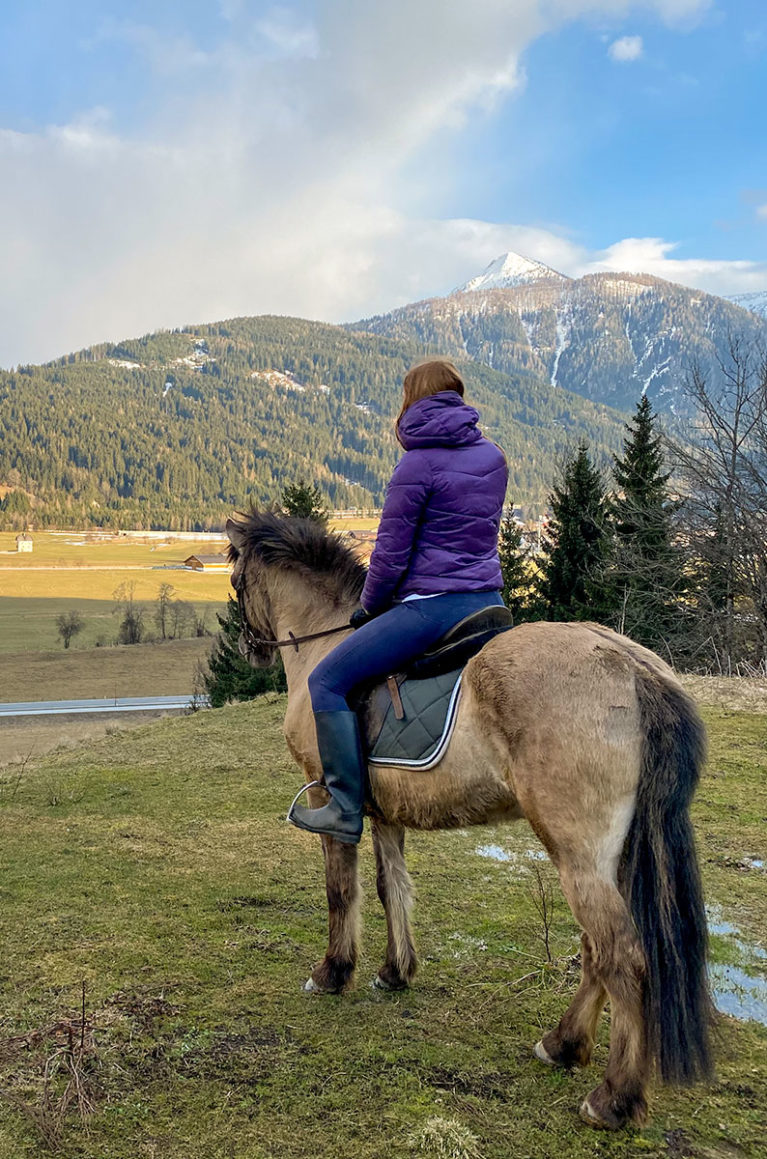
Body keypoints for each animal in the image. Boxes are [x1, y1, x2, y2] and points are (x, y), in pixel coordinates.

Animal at [227, 514, 713, 1131]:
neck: (325, 636)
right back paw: (563, 1045)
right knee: (595, 949)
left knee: (620, 954)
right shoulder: (383, 813)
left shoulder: (329, 795)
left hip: (577, 852)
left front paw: (334, 972)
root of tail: (632, 666)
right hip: (611, 855)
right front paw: (396, 971)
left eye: (236, 580)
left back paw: (614, 1099)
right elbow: (392, 886)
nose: (251, 649)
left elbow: (342, 890)